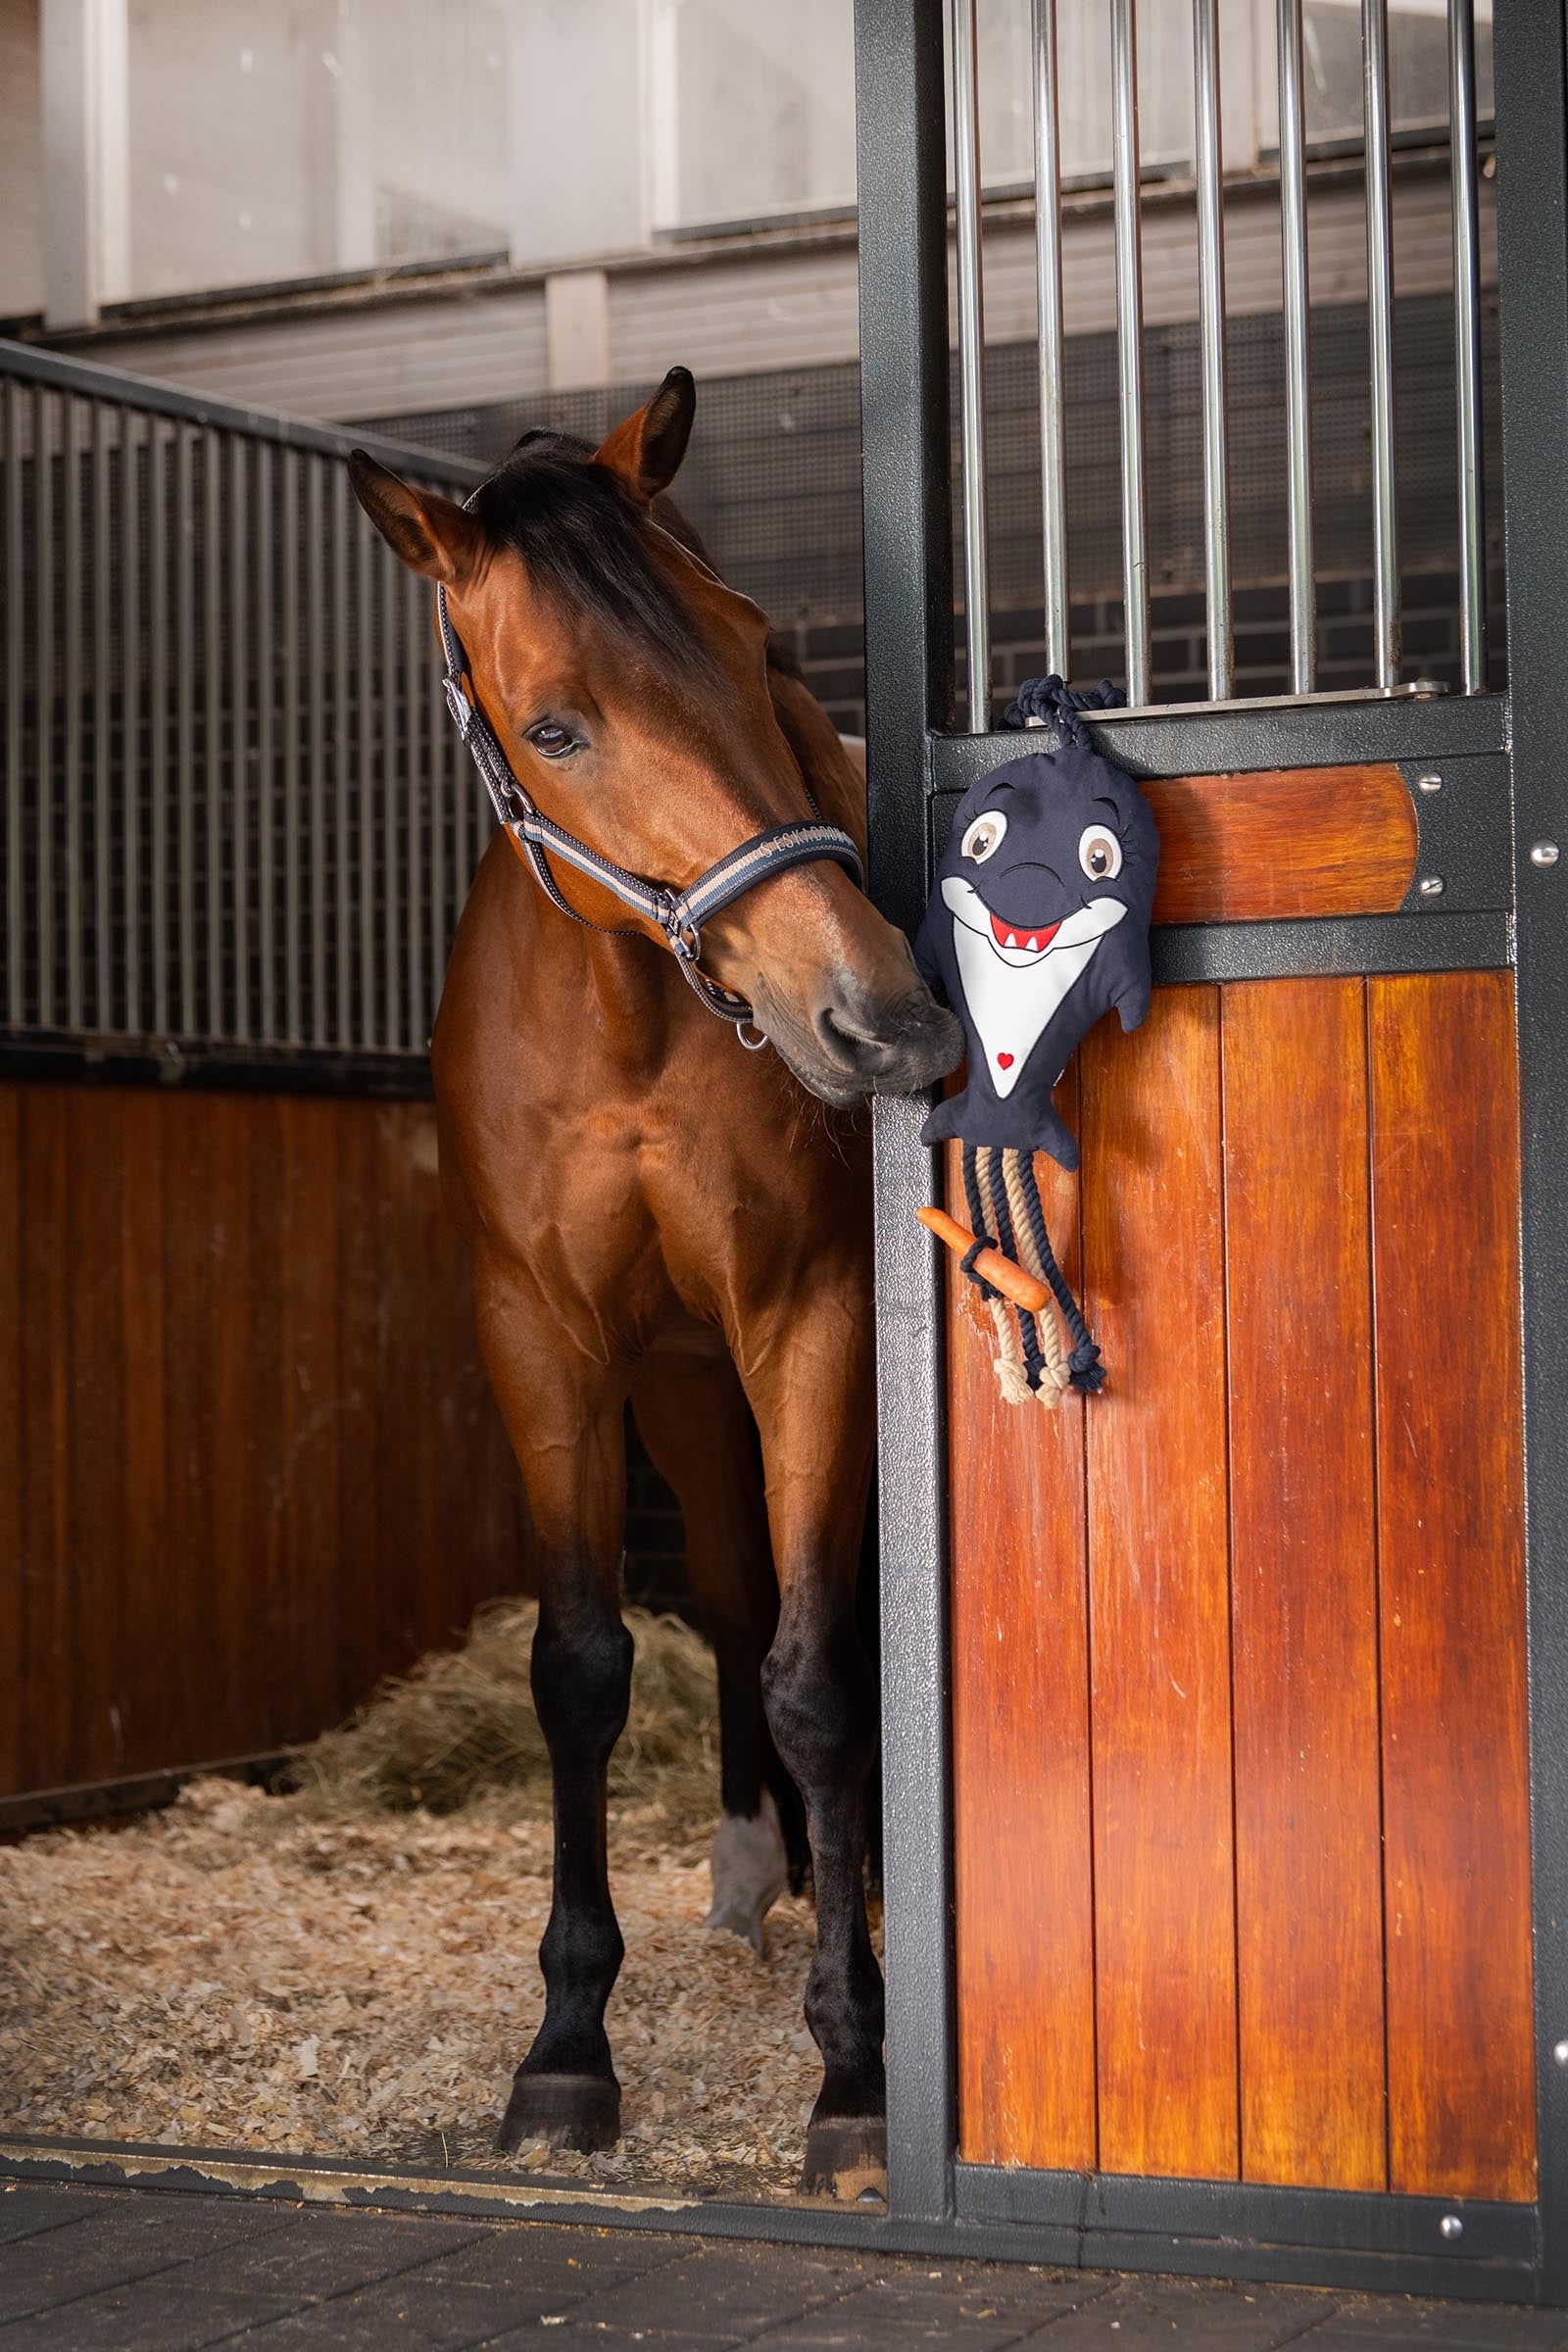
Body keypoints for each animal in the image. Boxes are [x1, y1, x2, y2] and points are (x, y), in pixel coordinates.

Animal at [348, 366, 960, 2198]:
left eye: (758, 648)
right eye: (555, 728)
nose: (883, 1018)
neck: (626, 1023)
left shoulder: (812, 1321)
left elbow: (823, 1675)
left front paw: (858, 2071)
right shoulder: (543, 1345)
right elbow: (585, 1668)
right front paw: (566, 2050)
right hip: (685, 1394)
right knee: (740, 1593)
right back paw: (765, 1875)